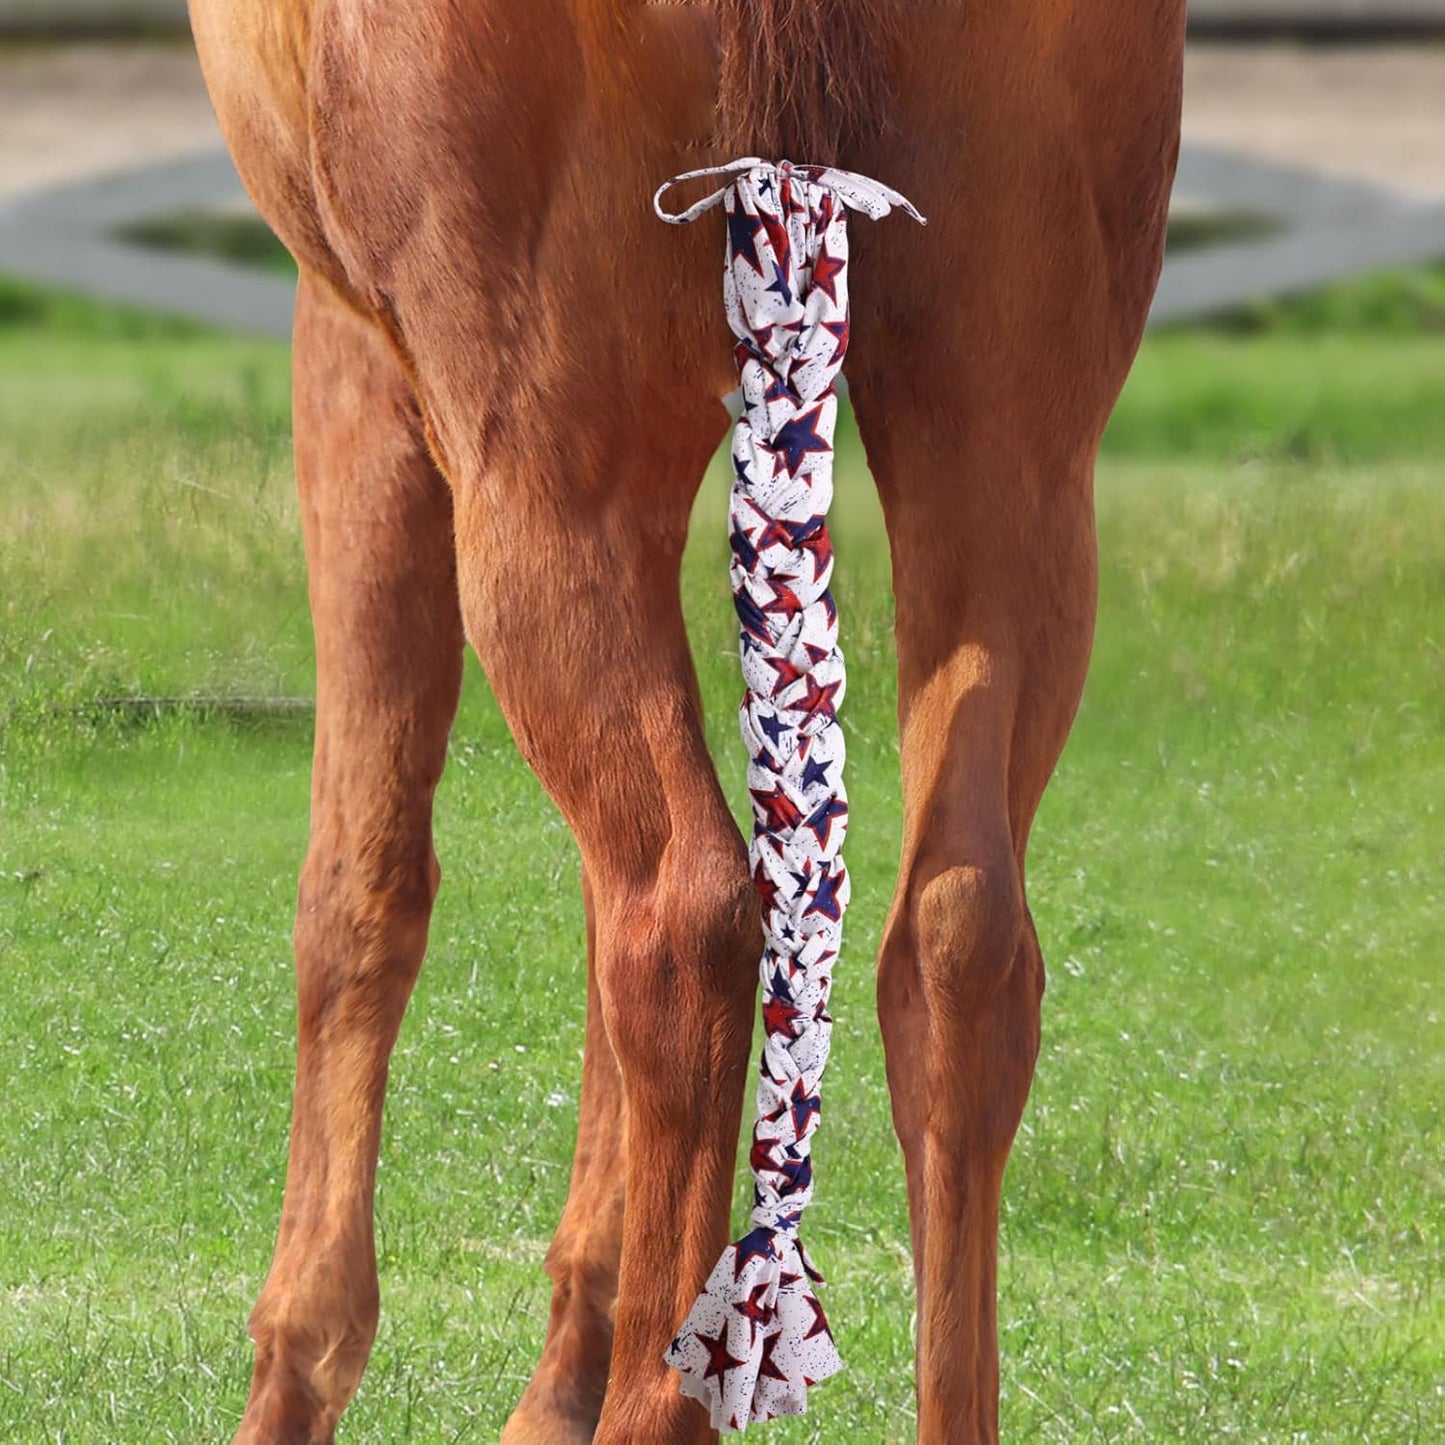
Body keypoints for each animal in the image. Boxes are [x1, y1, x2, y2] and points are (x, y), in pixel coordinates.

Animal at [186, 1, 1185, 1439]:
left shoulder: (363, 363)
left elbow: (359, 895)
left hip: (544, 471)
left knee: (682, 913)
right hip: (1012, 466)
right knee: (957, 936)